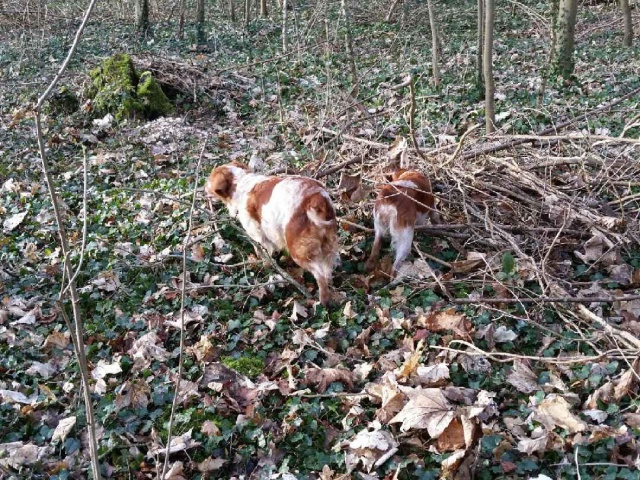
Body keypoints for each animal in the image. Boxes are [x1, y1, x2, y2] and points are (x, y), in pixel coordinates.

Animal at [206, 160, 340, 304]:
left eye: (210, 179)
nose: (203, 186)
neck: (241, 184)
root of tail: (315, 197)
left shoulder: (258, 235)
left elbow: (264, 254)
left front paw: (263, 266)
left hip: (299, 250)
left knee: (320, 276)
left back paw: (321, 301)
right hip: (328, 246)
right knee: (327, 273)